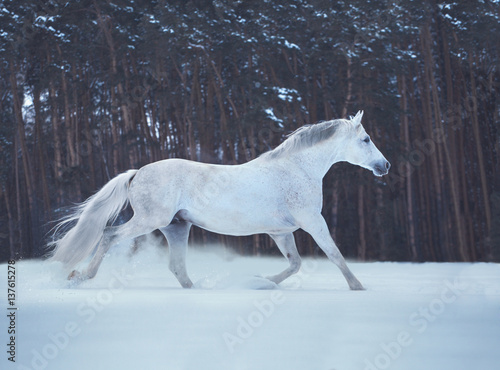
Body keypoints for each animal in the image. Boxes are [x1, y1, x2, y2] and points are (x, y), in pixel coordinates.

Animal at [50, 111, 390, 290]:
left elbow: (294, 264)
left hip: (176, 227)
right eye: (366, 139)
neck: (297, 169)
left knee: (176, 266)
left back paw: (196, 288)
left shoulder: (281, 232)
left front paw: (260, 280)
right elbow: (334, 255)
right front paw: (358, 287)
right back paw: (79, 276)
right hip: (151, 220)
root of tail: (136, 173)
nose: (384, 166)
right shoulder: (312, 222)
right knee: (109, 235)